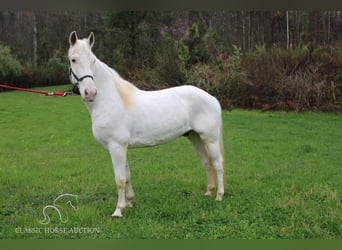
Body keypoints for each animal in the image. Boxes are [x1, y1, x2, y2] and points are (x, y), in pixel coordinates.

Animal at [68, 31, 226, 217]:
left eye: (92, 60)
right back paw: (209, 192)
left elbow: (120, 179)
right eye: (73, 60)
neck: (112, 100)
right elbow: (127, 176)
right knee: (207, 163)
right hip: (195, 138)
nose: (90, 93)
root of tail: (212, 98)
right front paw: (129, 203)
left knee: (218, 164)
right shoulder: (122, 147)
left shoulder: (116, 146)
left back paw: (219, 196)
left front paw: (118, 210)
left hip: (210, 139)